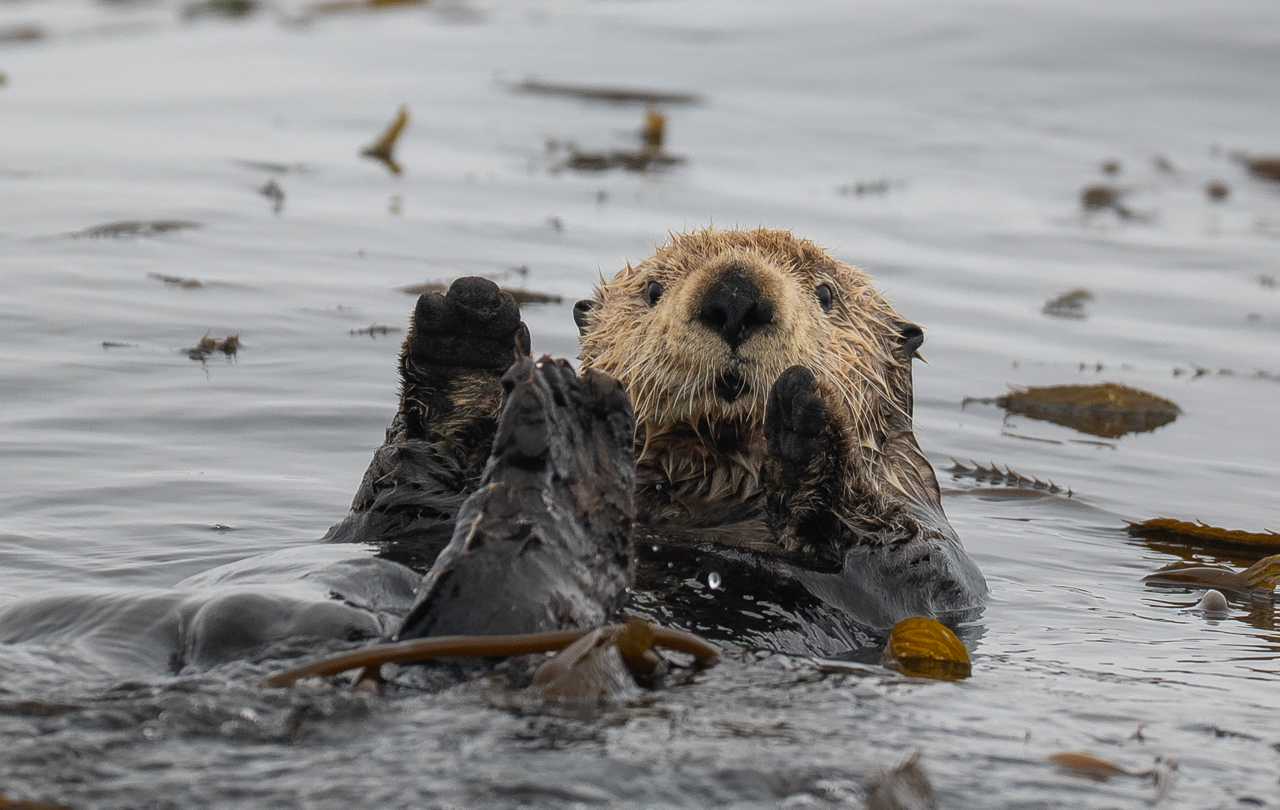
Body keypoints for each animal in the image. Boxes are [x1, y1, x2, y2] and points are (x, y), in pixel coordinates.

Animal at [325, 229, 985, 656]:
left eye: (826, 295)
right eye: (652, 290)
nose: (736, 294)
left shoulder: (922, 558)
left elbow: (902, 556)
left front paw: (810, 412)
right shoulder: (404, 512)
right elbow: (402, 494)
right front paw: (467, 327)